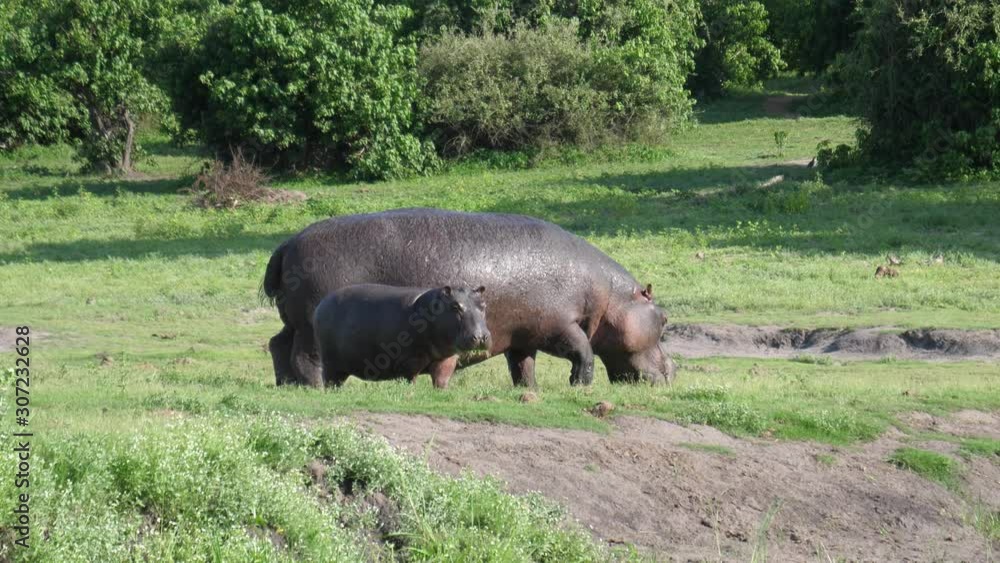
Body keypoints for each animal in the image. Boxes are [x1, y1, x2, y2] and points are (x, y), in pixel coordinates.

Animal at [313, 284, 491, 388]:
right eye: (455, 306)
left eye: (483, 305)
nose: (481, 336)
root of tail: (321, 304)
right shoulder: (410, 361)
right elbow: (410, 380)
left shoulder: (446, 359)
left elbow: (441, 380)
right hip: (331, 365)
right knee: (330, 382)